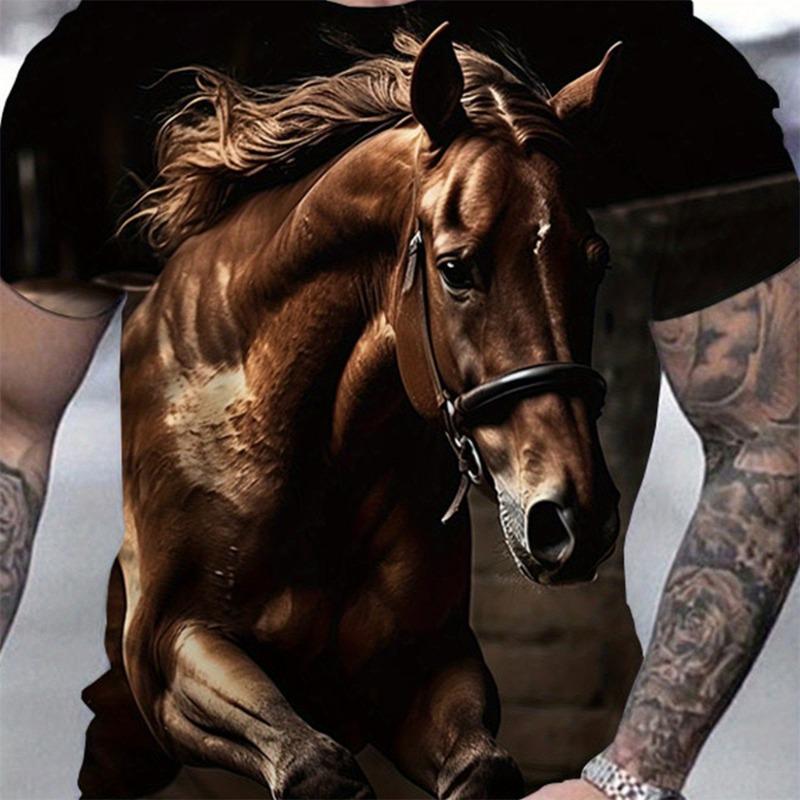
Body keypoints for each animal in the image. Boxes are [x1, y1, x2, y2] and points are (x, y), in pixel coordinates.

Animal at [79, 24, 621, 799]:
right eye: (455, 268)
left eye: (595, 262)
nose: (575, 519)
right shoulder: (170, 652)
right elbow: (313, 764)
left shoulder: (427, 668)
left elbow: (481, 767)